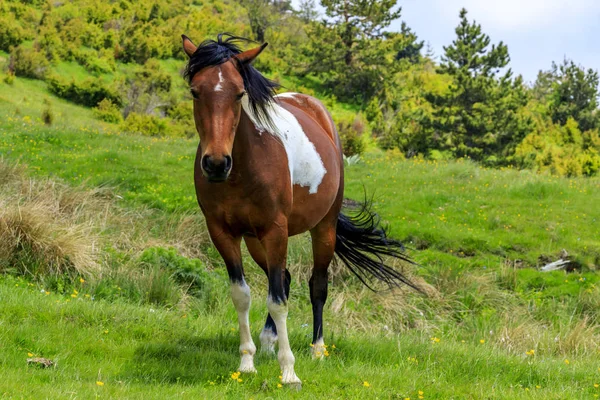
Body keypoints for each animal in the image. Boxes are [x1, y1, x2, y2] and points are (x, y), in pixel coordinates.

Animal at [182, 35, 418, 388]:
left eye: (238, 93)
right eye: (196, 91)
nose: (216, 163)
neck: (244, 167)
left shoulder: (276, 231)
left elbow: (279, 301)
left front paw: (289, 371)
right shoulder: (223, 233)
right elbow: (243, 295)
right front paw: (248, 361)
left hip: (323, 229)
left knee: (315, 285)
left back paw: (317, 349)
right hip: (255, 240)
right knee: (284, 279)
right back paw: (268, 341)